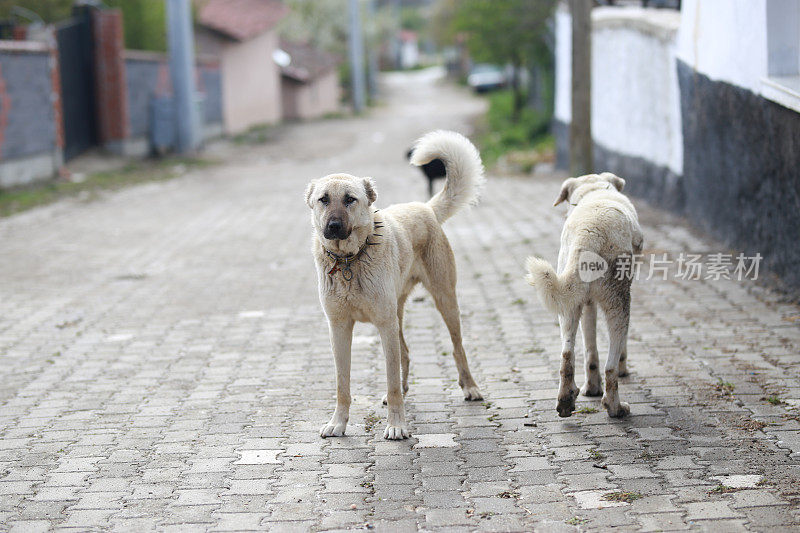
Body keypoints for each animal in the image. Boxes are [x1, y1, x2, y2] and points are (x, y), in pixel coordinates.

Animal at [304, 131, 482, 438]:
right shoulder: (339, 328)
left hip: (444, 301)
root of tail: (425, 208)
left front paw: (397, 426)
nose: (334, 227)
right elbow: (342, 384)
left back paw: (469, 387)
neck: (350, 259)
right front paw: (338, 422)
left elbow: (391, 380)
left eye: (350, 199)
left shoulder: (384, 326)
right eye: (323, 199)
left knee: (457, 347)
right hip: (396, 314)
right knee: (406, 354)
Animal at [524, 172, 644, 418]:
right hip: (618, 302)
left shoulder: (587, 303)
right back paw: (615, 407)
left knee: (567, 355)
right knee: (610, 365)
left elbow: (590, 350)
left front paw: (591, 387)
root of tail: (588, 235)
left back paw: (566, 400)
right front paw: (622, 369)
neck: (593, 190)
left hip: (569, 303)